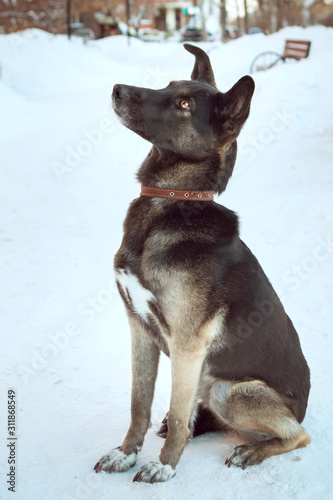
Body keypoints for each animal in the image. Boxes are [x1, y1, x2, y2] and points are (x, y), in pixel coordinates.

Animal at [92, 44, 308, 484]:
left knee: (297, 435)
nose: (118, 89)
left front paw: (164, 466)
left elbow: (177, 416)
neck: (172, 200)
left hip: (232, 389)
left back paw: (250, 451)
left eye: (185, 105)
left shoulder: (188, 344)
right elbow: (139, 404)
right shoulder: (138, 327)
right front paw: (126, 454)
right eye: (169, 86)